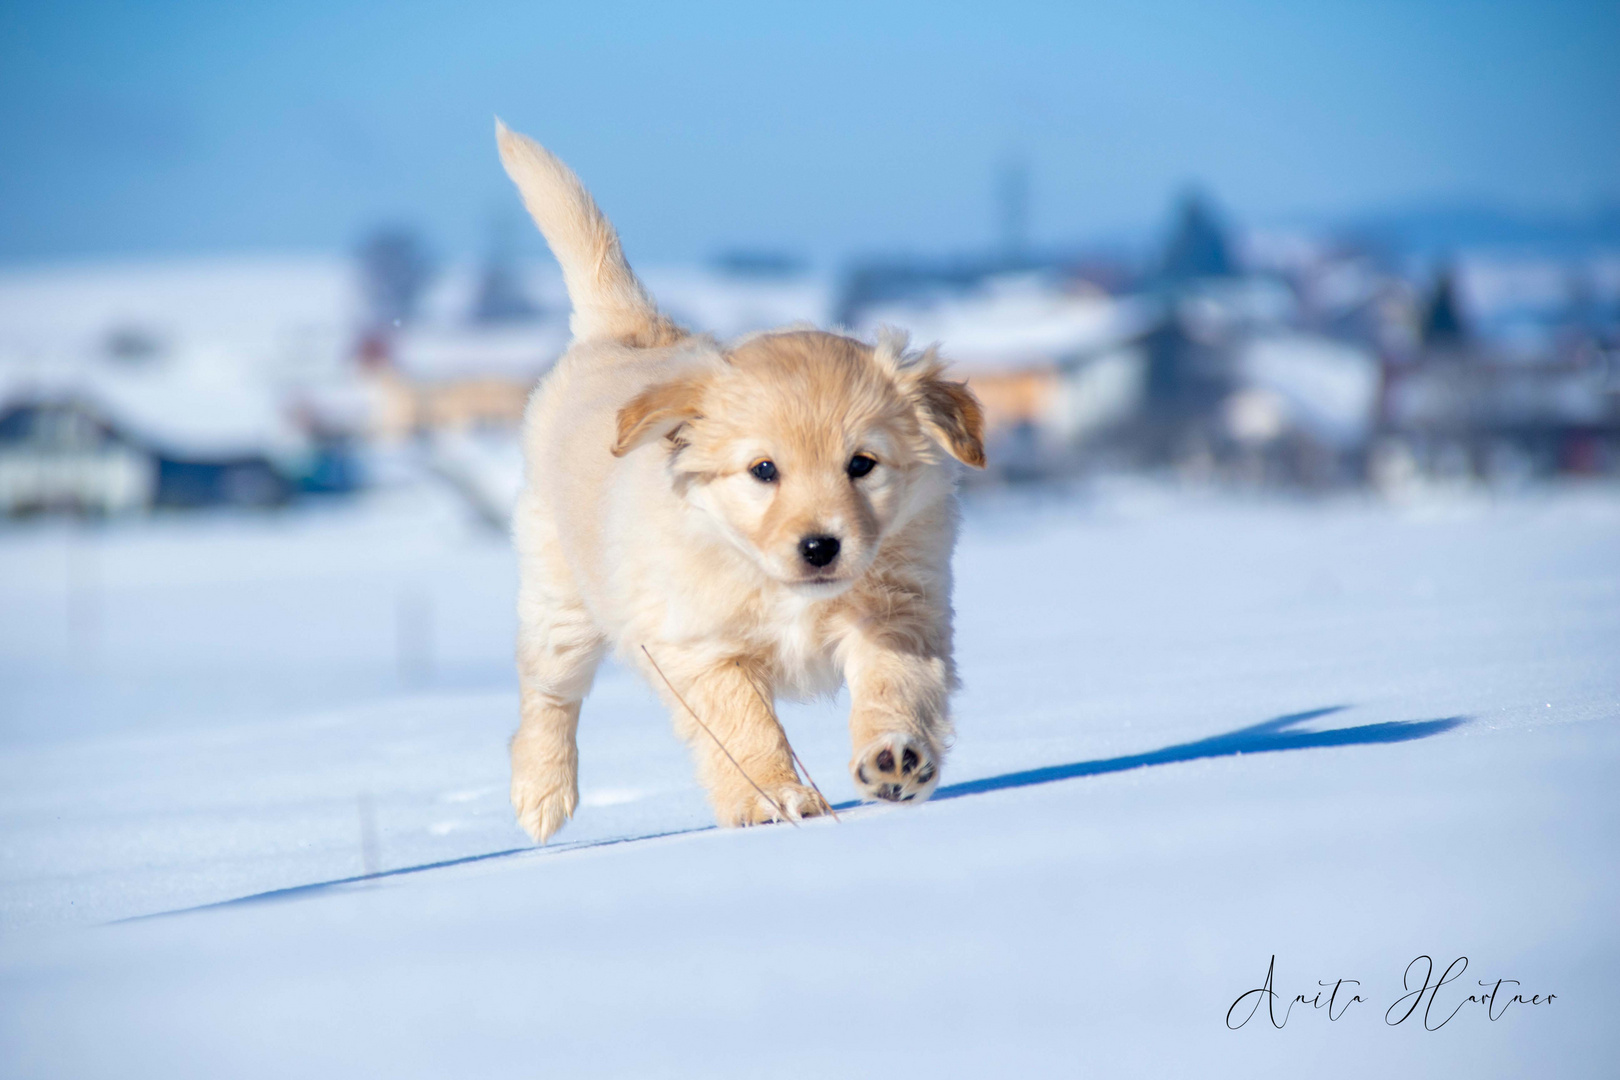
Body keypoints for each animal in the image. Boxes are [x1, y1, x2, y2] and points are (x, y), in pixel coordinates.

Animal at [492, 122, 978, 841]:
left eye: (861, 464)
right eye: (763, 470)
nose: (820, 548)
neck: (769, 578)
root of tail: (628, 332)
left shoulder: (901, 613)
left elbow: (894, 686)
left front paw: (895, 757)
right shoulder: (701, 649)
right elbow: (745, 727)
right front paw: (775, 798)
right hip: (561, 602)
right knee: (548, 693)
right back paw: (541, 792)